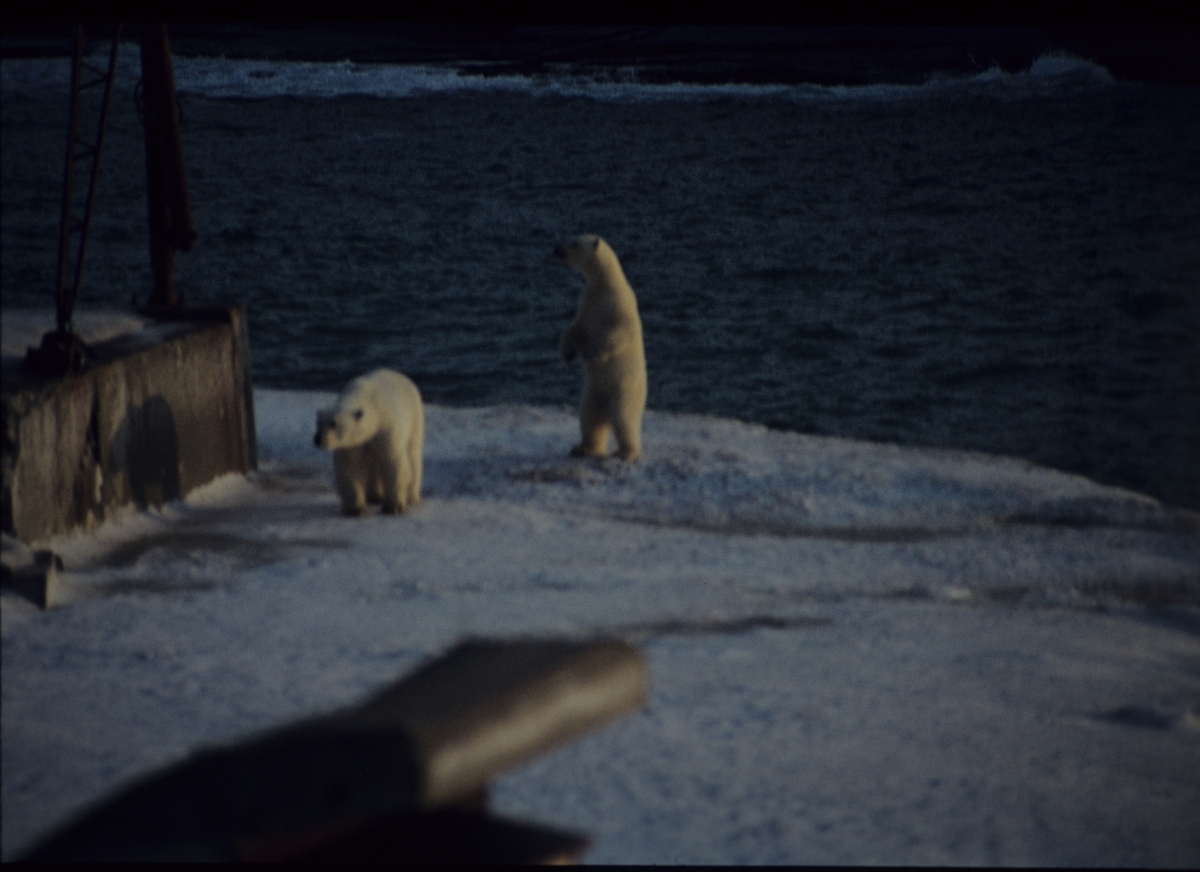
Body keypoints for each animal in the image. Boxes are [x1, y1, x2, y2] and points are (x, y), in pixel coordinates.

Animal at [312, 369, 424, 518]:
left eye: (334, 423)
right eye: (318, 423)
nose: (318, 438)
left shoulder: (385, 427)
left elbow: (393, 461)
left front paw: (394, 506)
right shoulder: (352, 444)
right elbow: (349, 467)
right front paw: (356, 509)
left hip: (414, 418)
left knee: (413, 455)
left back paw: (412, 497)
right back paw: (374, 496)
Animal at [554, 235, 648, 460]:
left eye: (575, 243)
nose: (556, 249)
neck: (605, 286)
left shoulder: (619, 305)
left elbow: (616, 335)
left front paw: (591, 354)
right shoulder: (588, 302)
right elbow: (576, 328)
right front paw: (567, 354)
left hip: (624, 389)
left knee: (623, 418)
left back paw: (627, 452)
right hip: (593, 393)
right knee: (590, 418)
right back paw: (583, 448)